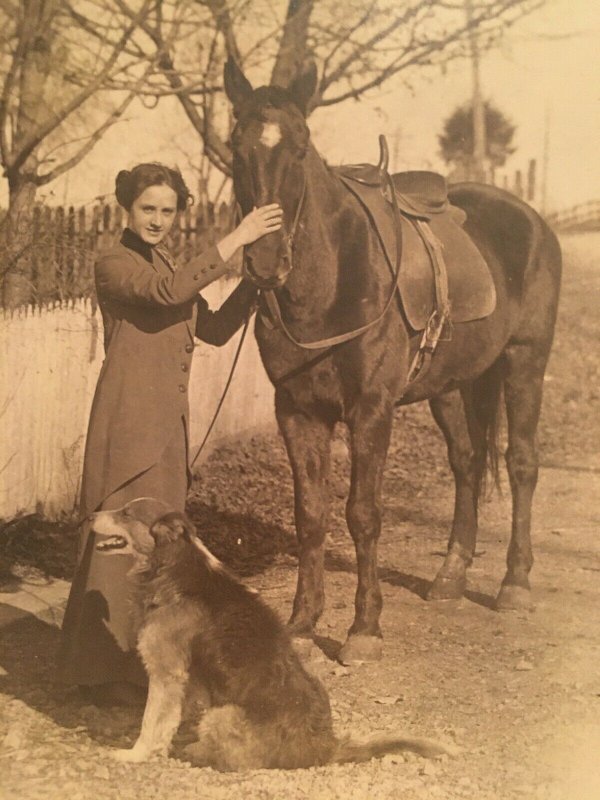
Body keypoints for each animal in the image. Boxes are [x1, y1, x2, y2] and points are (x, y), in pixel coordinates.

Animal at [91, 500, 452, 768]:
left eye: (126, 513)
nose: (90, 514)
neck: (175, 564)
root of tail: (326, 746)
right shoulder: (186, 677)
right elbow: (172, 716)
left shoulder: (165, 671)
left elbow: (151, 721)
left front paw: (134, 754)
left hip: (222, 715)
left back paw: (197, 752)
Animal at [223, 59, 560, 664]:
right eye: (234, 145)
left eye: (301, 147)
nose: (264, 260)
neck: (330, 283)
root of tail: (533, 221)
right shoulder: (298, 413)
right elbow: (311, 515)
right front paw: (302, 624)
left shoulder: (370, 411)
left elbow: (363, 513)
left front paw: (363, 628)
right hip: (455, 386)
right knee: (467, 463)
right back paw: (450, 576)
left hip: (525, 363)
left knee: (521, 464)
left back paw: (514, 583)